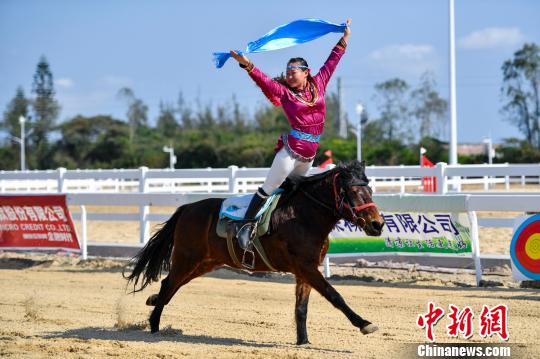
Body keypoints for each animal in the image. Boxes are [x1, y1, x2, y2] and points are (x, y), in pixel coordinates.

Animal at [126, 161, 386, 346]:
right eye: (354, 192)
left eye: (371, 191)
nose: (378, 224)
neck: (303, 217)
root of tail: (187, 208)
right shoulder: (306, 267)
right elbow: (334, 295)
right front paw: (364, 323)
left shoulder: (305, 269)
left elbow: (301, 307)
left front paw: (303, 341)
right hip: (186, 259)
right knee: (169, 283)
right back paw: (154, 323)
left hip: (204, 263)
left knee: (170, 285)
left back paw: (154, 303)